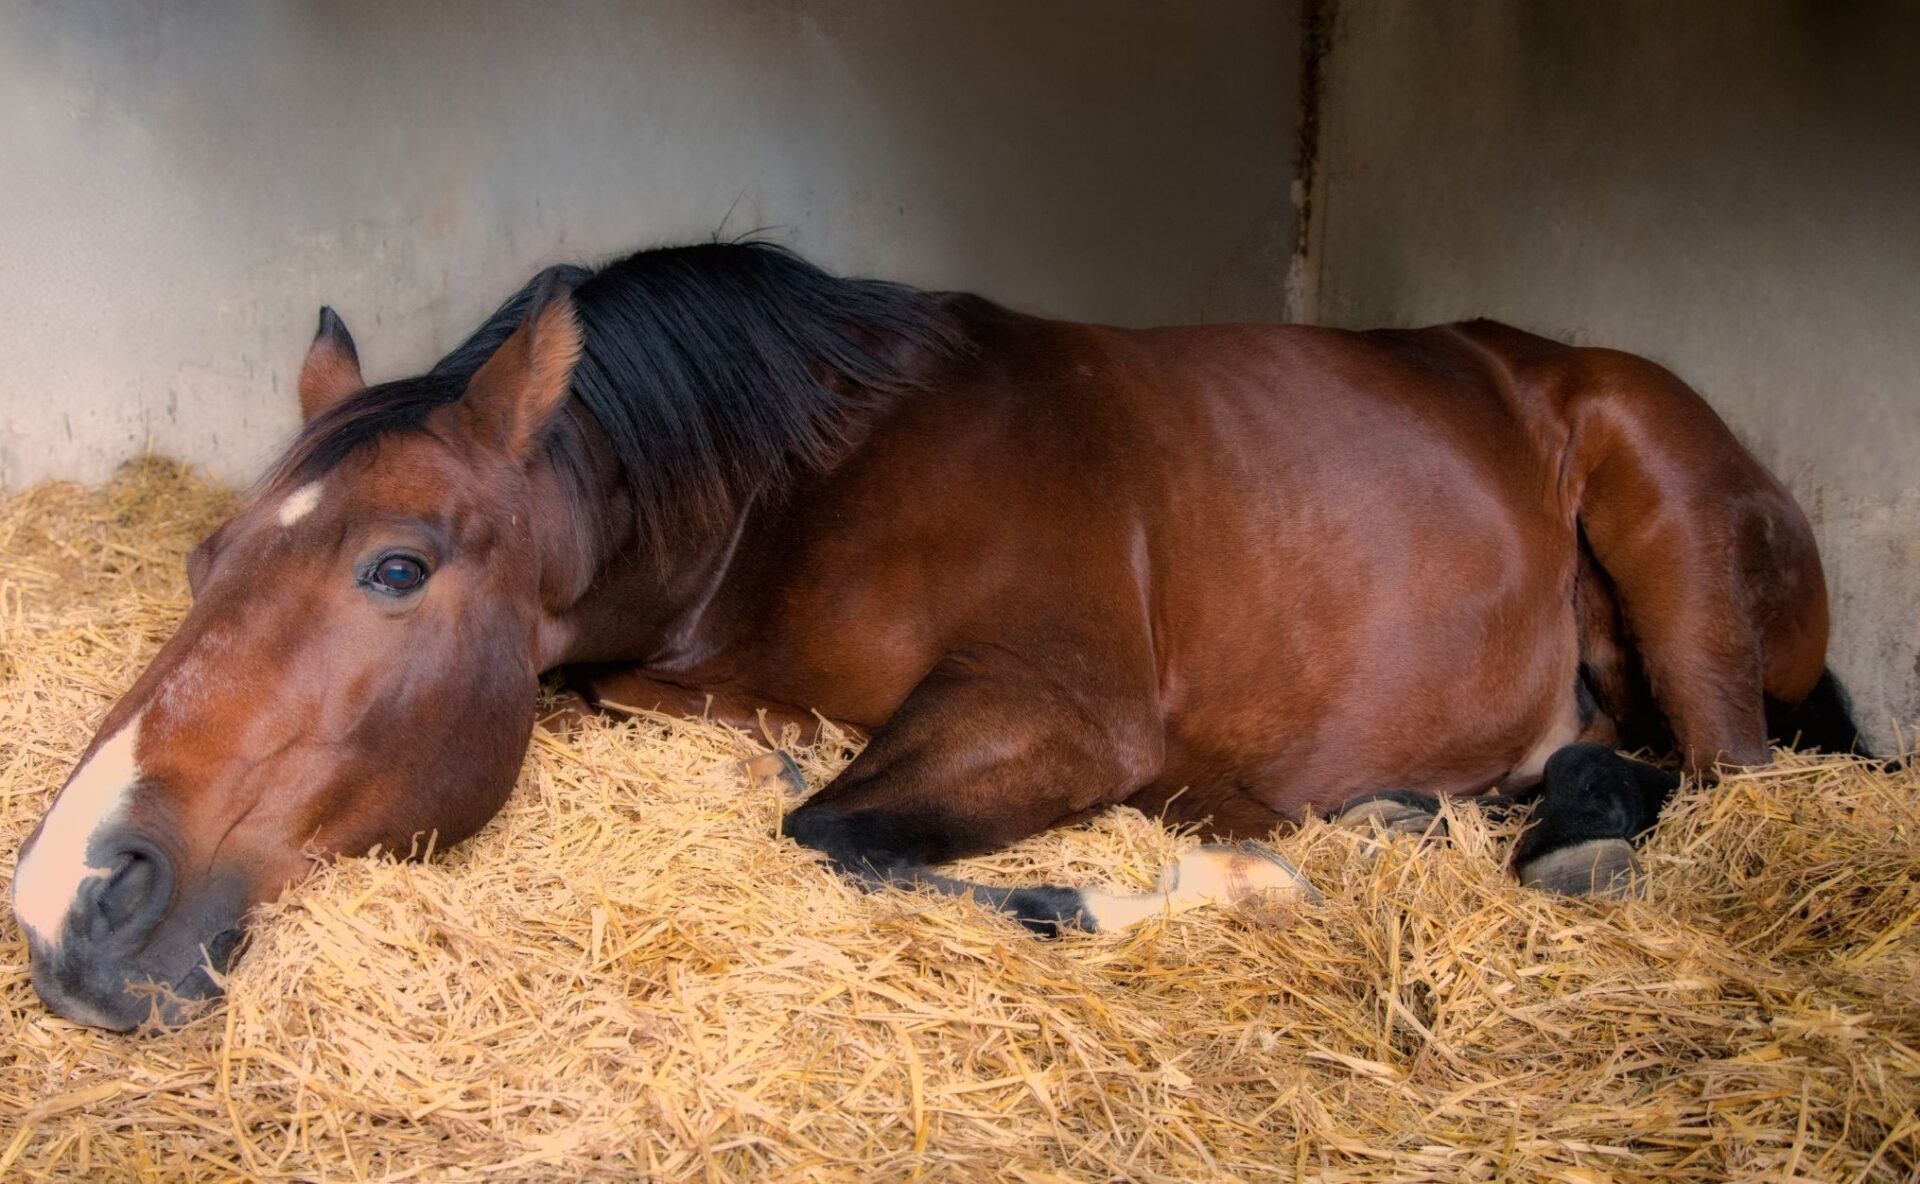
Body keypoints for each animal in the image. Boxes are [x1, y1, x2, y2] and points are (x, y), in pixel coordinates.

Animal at [11, 242, 1863, 1031]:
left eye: (396, 568)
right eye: (205, 556)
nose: (63, 899)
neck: (809, 478)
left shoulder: (1058, 712)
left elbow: (833, 835)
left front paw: (1213, 883)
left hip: (1675, 562)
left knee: (1725, 776)